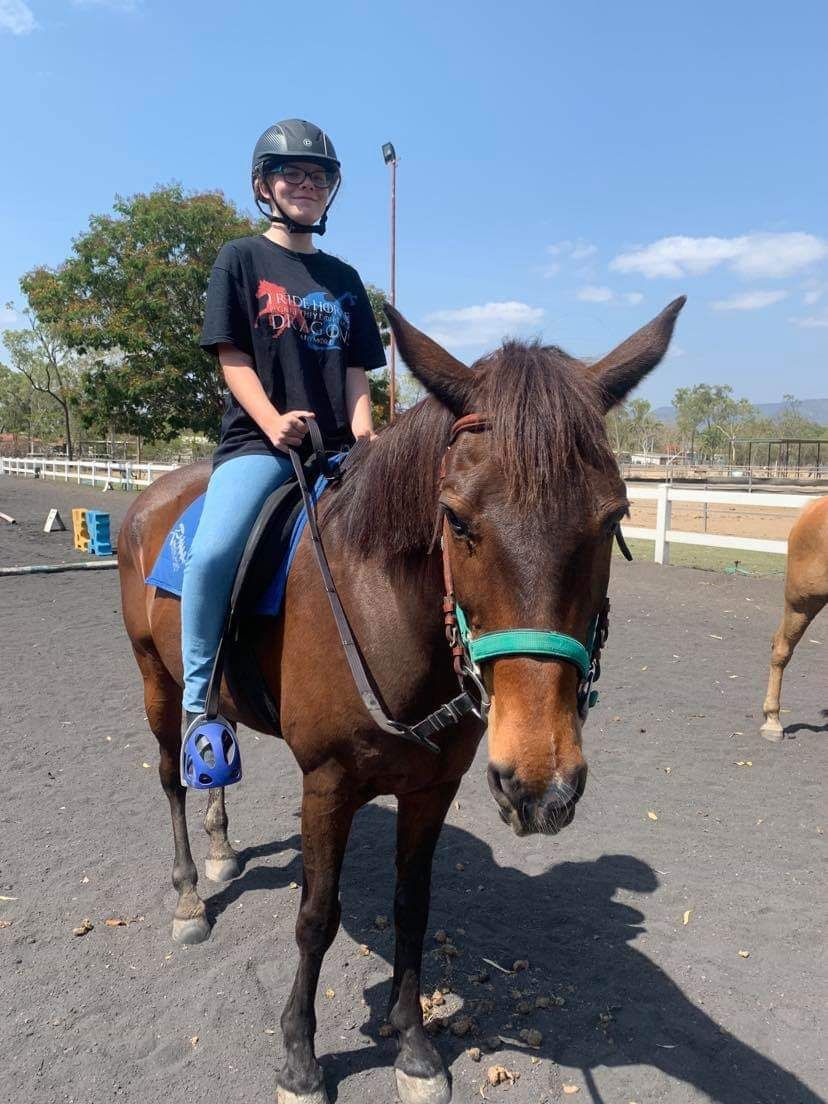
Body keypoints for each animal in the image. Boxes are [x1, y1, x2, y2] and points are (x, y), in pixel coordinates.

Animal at [118, 297, 685, 1104]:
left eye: (612, 519)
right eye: (456, 518)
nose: (540, 784)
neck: (382, 609)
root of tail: (153, 495)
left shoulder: (432, 786)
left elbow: (413, 908)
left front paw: (412, 1044)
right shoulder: (327, 785)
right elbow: (316, 917)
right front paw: (300, 1059)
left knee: (211, 753)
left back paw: (224, 850)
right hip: (155, 680)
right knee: (171, 775)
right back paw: (191, 894)